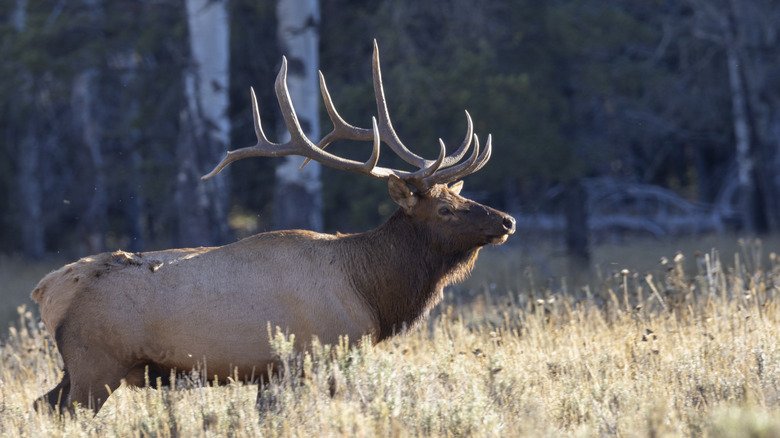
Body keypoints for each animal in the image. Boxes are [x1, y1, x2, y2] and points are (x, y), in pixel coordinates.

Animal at [31, 41, 516, 414]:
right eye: (446, 209)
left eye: (460, 197)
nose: (506, 220)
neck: (370, 292)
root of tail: (47, 289)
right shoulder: (312, 356)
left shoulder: (271, 373)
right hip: (96, 363)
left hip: (78, 368)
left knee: (42, 404)